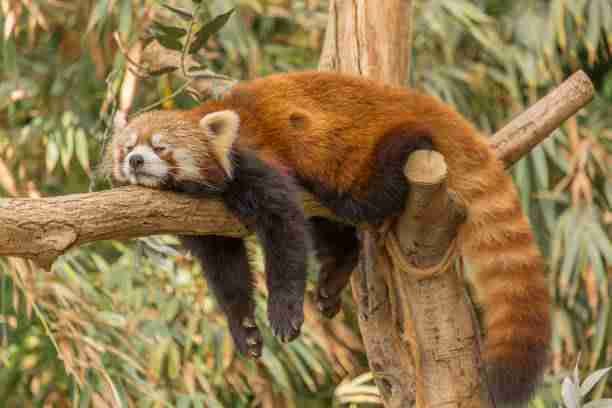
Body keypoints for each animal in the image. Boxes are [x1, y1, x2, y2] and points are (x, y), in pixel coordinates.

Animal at [109, 70, 548, 404]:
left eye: (160, 147)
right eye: (127, 147)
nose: (135, 160)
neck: (193, 191)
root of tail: (411, 100)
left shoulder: (252, 163)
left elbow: (285, 230)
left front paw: (284, 311)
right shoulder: (204, 221)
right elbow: (226, 269)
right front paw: (245, 328)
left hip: (351, 155)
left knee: (364, 199)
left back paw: (405, 146)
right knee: (334, 232)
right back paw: (335, 275)